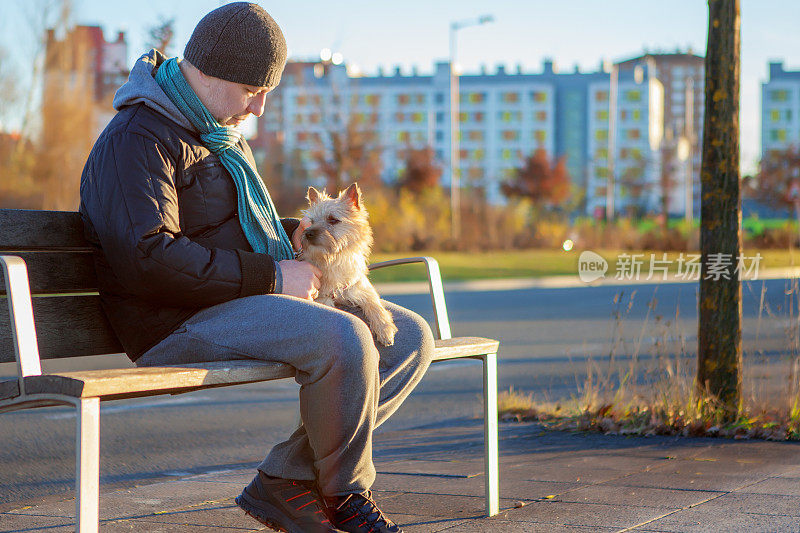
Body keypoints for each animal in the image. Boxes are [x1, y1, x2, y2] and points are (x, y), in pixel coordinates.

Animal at [298, 183, 398, 344]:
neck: (335, 259)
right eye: (311, 221)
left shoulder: (362, 287)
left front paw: (384, 329)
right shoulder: (323, 297)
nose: (308, 233)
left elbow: (375, 304)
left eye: (333, 219)